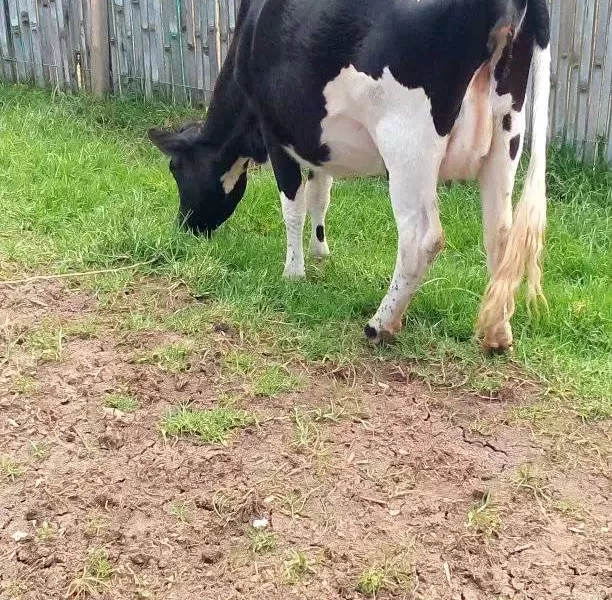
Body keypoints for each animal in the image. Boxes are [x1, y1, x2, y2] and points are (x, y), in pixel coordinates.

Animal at [148, 0, 548, 354]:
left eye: (174, 169)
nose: (184, 227)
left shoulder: (276, 132)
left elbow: (292, 205)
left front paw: (293, 273)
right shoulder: (317, 142)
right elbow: (320, 194)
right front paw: (320, 253)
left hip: (407, 142)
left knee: (423, 238)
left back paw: (380, 325)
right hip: (506, 133)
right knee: (500, 233)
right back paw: (497, 333)